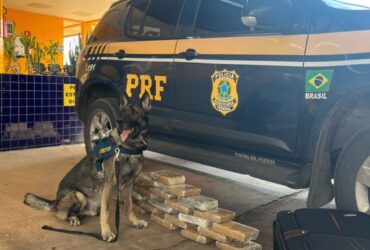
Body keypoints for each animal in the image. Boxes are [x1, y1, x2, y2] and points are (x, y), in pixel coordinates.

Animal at [23, 94, 150, 242]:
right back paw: (72, 218)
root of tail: (55, 202)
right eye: (122, 112)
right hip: (79, 195)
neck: (128, 147)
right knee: (61, 214)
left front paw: (135, 222)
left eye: (134, 113)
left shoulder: (130, 184)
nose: (119, 122)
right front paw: (106, 232)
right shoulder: (109, 183)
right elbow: (106, 212)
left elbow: (129, 206)